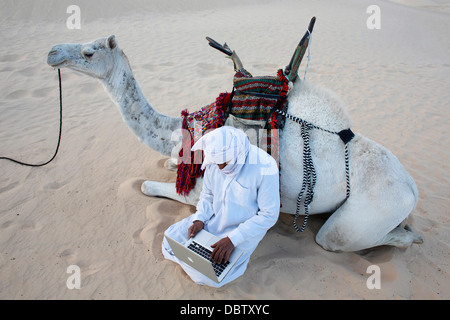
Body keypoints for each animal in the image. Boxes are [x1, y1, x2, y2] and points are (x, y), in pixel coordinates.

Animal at [47, 35, 424, 252]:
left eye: (88, 52)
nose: (52, 52)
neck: (183, 131)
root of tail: (411, 187)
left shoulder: (199, 192)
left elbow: (147, 187)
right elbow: (168, 165)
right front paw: (169, 163)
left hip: (366, 215)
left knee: (343, 238)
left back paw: (410, 234)